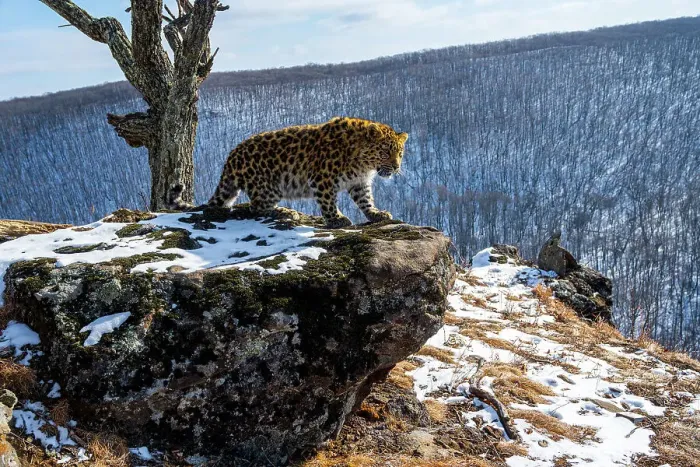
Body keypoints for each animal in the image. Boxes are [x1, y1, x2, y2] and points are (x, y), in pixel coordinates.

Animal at [171, 117, 408, 228]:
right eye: (385, 151)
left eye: (400, 153)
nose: (396, 167)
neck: (362, 163)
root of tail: (231, 157)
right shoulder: (321, 178)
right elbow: (328, 202)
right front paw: (337, 219)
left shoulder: (359, 183)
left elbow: (365, 201)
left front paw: (377, 214)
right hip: (269, 186)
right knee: (255, 208)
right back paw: (285, 212)